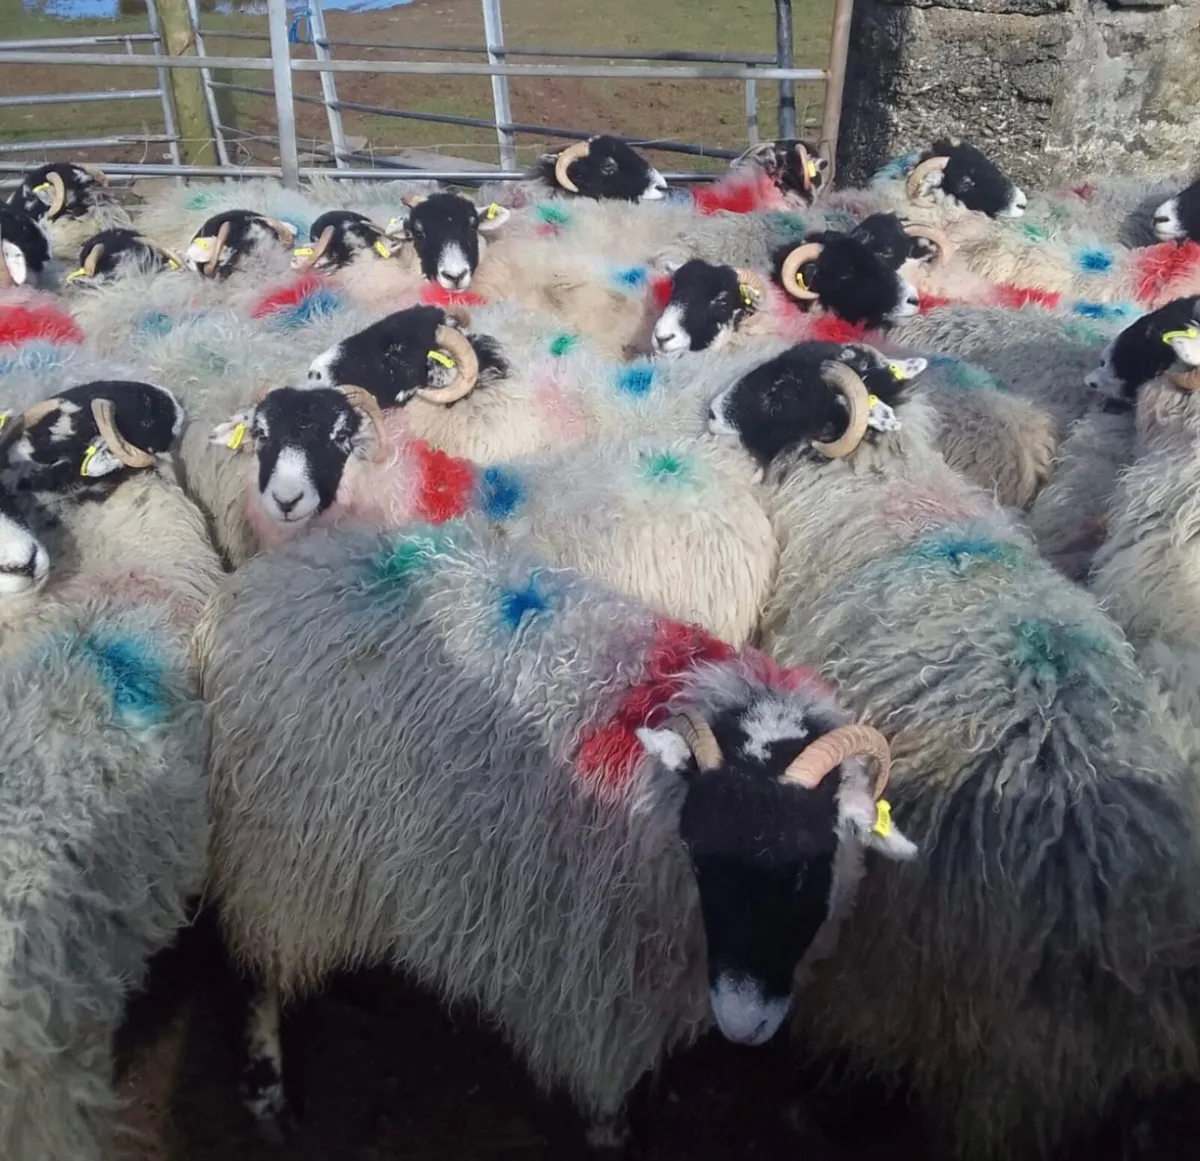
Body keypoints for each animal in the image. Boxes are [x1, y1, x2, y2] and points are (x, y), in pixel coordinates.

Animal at [195, 511, 918, 1145]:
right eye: (699, 853)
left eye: (811, 861)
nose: (744, 1022)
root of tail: (262, 579)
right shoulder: (601, 987)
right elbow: (606, 1097)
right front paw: (613, 1134)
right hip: (278, 853)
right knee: (261, 973)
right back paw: (266, 1089)